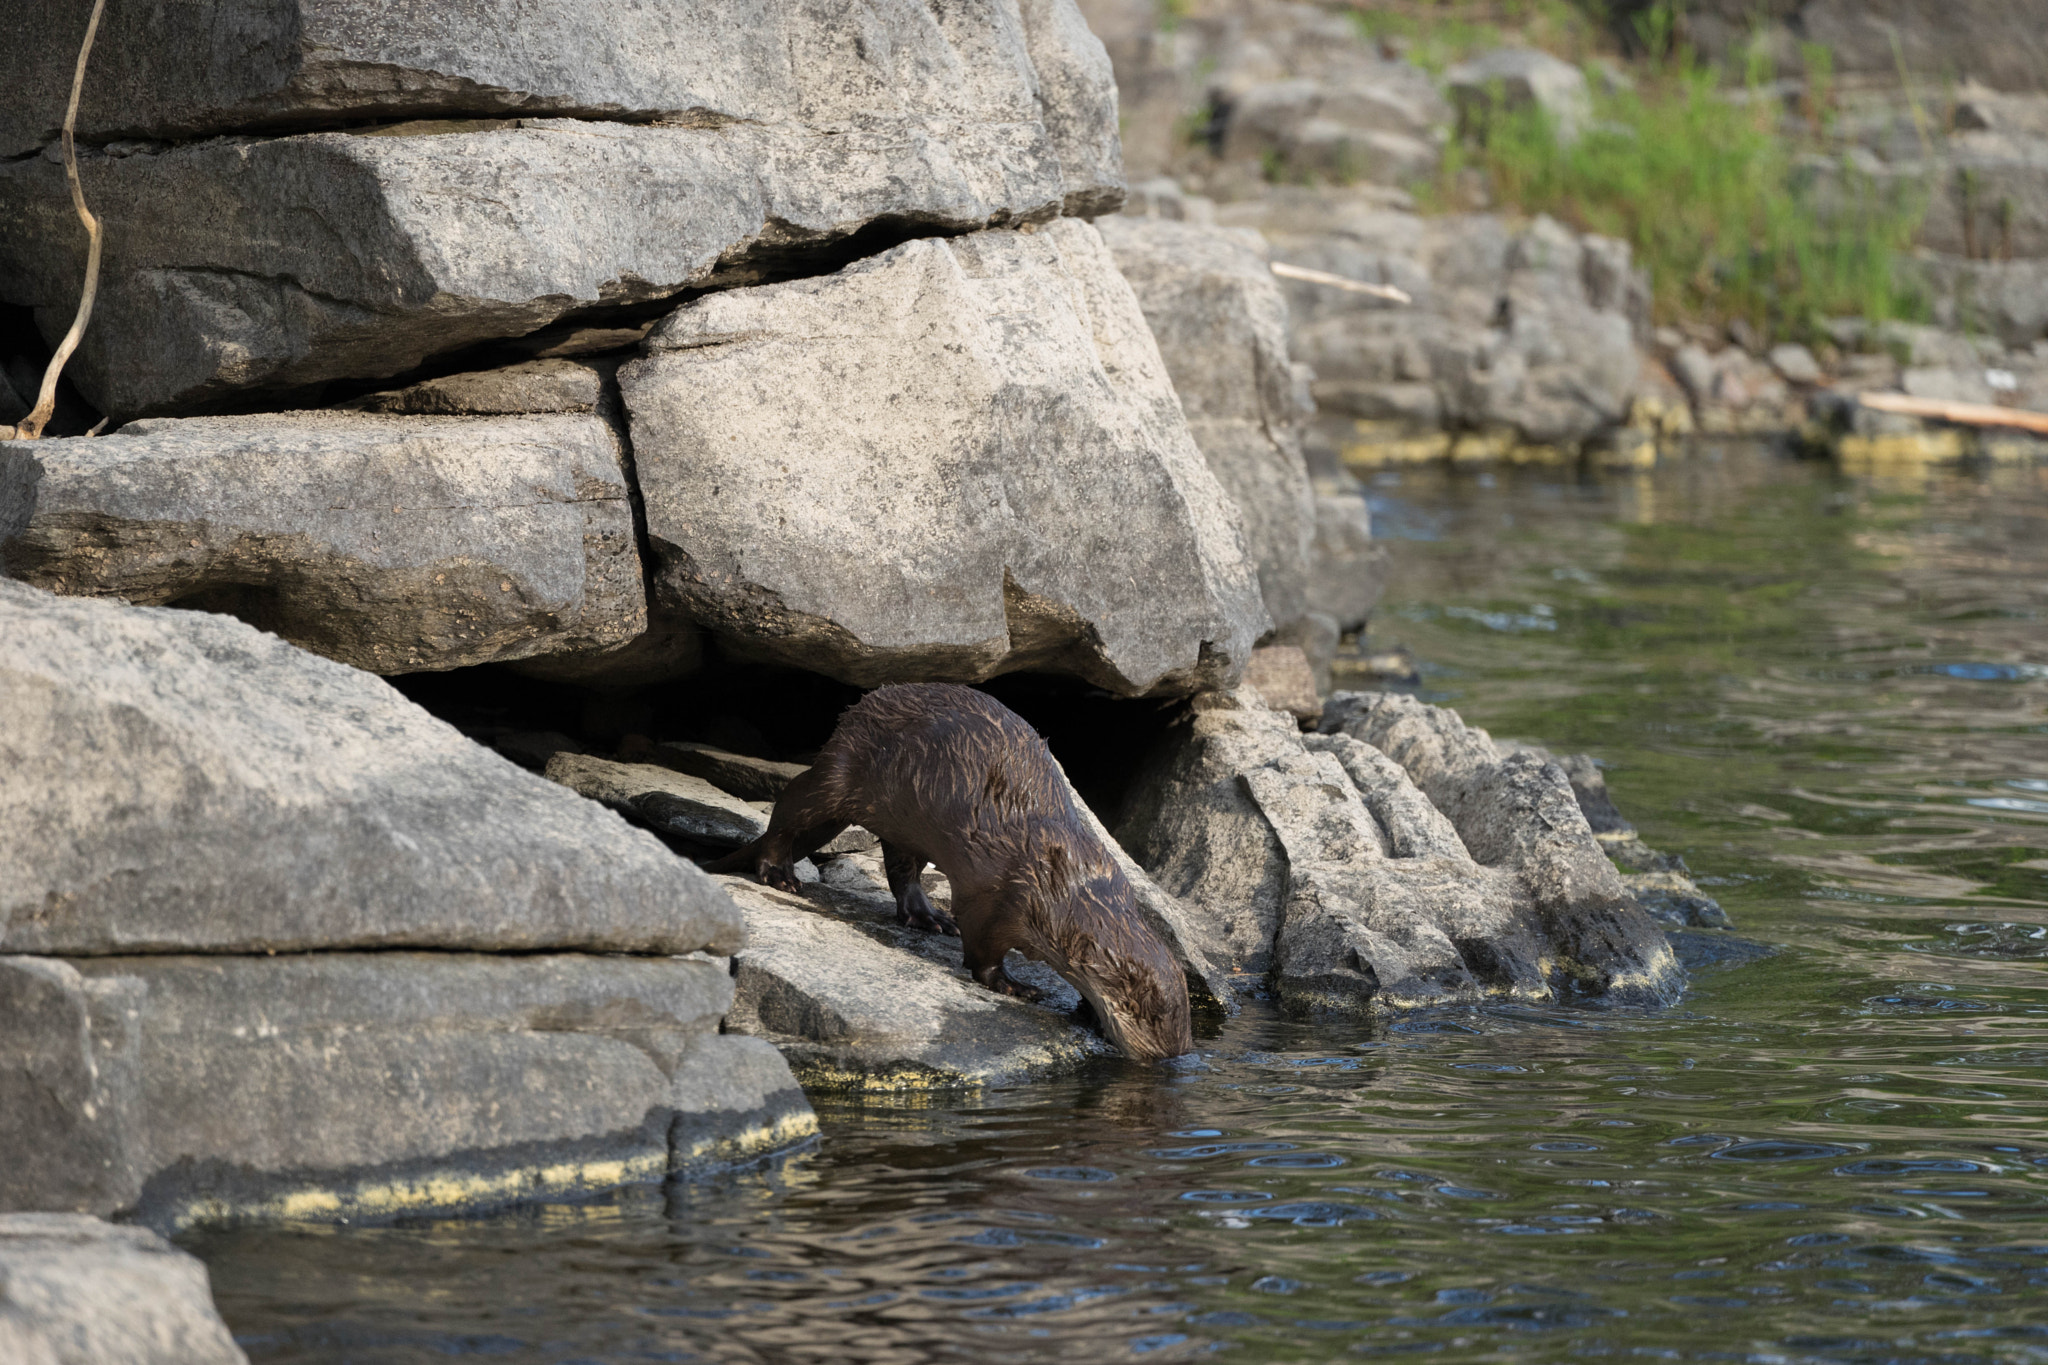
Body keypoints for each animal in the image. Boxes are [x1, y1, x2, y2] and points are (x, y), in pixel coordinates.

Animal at [704, 687, 1196, 1064]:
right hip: (841, 771)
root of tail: (858, 711)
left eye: (1179, 1019)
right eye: (1137, 1009)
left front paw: (1086, 1010)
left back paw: (928, 918)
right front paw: (1015, 986)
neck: (1064, 885)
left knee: (901, 869)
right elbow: (982, 950)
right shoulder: (996, 896)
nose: (1164, 1055)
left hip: (901, 822)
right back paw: (778, 872)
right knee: (790, 807)